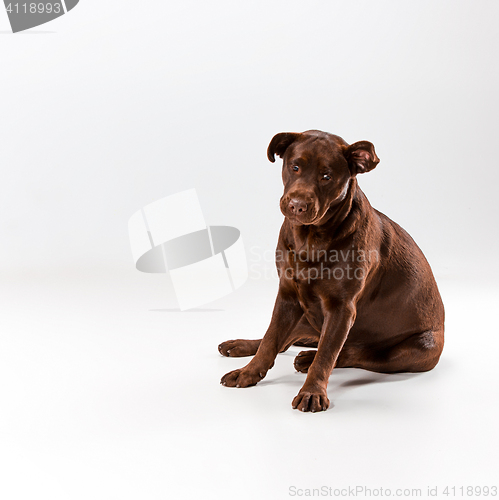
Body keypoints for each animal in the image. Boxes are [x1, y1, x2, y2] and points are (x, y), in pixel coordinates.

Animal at [219, 131, 446, 412]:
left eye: (326, 176)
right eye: (294, 167)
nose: (297, 205)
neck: (310, 238)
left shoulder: (341, 308)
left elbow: (327, 355)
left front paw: (312, 391)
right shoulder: (287, 295)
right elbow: (271, 339)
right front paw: (248, 372)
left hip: (418, 347)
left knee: (354, 353)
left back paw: (307, 358)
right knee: (286, 340)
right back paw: (242, 345)